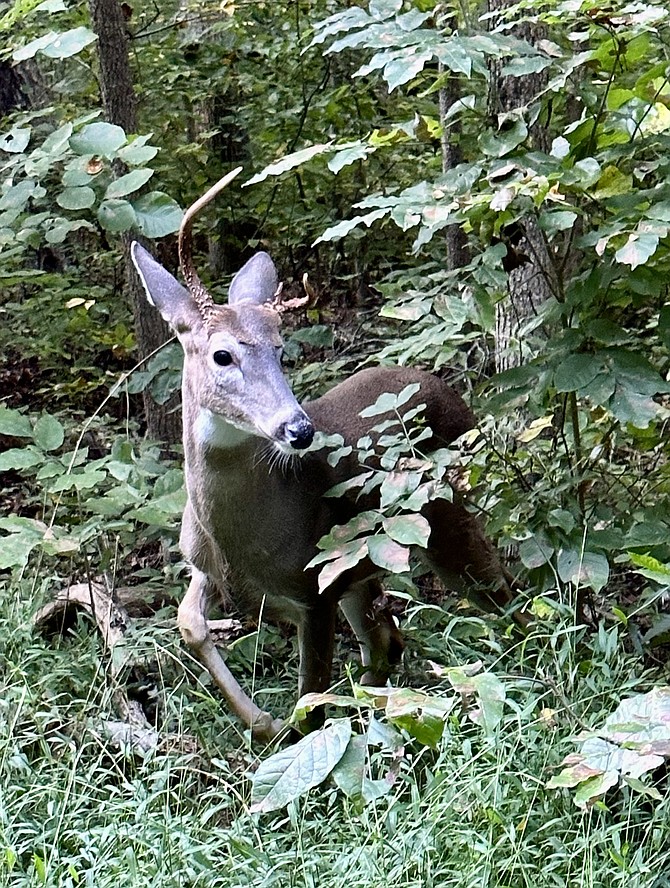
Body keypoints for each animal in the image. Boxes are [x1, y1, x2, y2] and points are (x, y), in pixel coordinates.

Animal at [130, 168, 520, 744]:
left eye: (280, 350)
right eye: (223, 354)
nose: (297, 429)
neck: (241, 540)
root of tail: (449, 390)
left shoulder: (314, 587)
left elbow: (309, 701)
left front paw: (284, 735)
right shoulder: (205, 563)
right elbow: (190, 624)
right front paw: (260, 720)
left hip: (445, 513)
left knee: (503, 596)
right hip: (366, 562)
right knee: (387, 639)